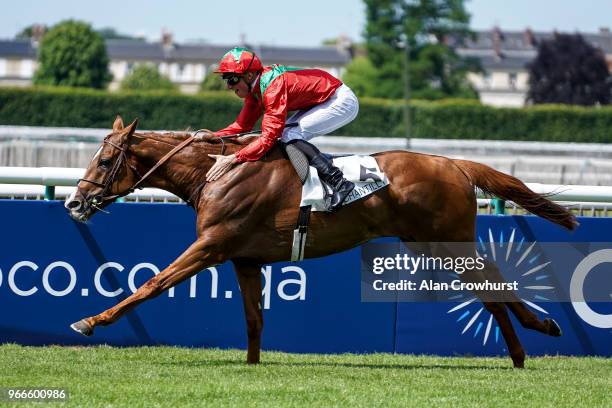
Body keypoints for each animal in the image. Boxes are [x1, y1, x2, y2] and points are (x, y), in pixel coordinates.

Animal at [67, 116, 580, 368]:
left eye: (106, 159)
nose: (74, 202)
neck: (216, 172)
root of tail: (455, 164)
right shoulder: (245, 259)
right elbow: (254, 319)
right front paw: (252, 366)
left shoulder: (212, 246)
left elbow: (150, 284)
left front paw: (90, 321)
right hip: (431, 244)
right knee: (490, 287)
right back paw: (529, 342)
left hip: (448, 242)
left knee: (491, 285)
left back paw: (531, 339)